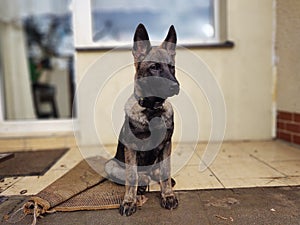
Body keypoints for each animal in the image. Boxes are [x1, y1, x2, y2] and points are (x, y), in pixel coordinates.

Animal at [104, 23, 179, 216]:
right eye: (154, 67)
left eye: (172, 67)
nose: (176, 86)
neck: (152, 110)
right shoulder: (131, 148)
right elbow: (132, 176)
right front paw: (129, 201)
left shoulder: (166, 145)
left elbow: (165, 172)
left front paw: (168, 195)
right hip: (111, 165)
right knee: (137, 176)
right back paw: (141, 185)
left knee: (158, 173)